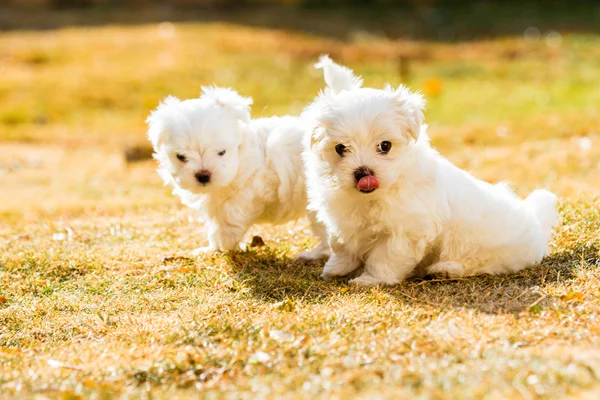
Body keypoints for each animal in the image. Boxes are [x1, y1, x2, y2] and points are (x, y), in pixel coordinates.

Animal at [146, 86, 328, 260]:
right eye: (181, 157)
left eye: (221, 152)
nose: (203, 175)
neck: (241, 158)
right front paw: (211, 248)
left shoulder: (246, 193)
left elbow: (228, 223)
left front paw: (222, 247)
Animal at [302, 57, 560, 288]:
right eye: (340, 148)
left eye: (385, 146)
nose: (362, 172)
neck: (375, 195)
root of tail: (536, 223)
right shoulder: (343, 219)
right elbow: (340, 244)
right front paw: (336, 268)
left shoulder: (407, 229)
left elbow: (385, 256)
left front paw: (371, 279)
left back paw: (446, 269)